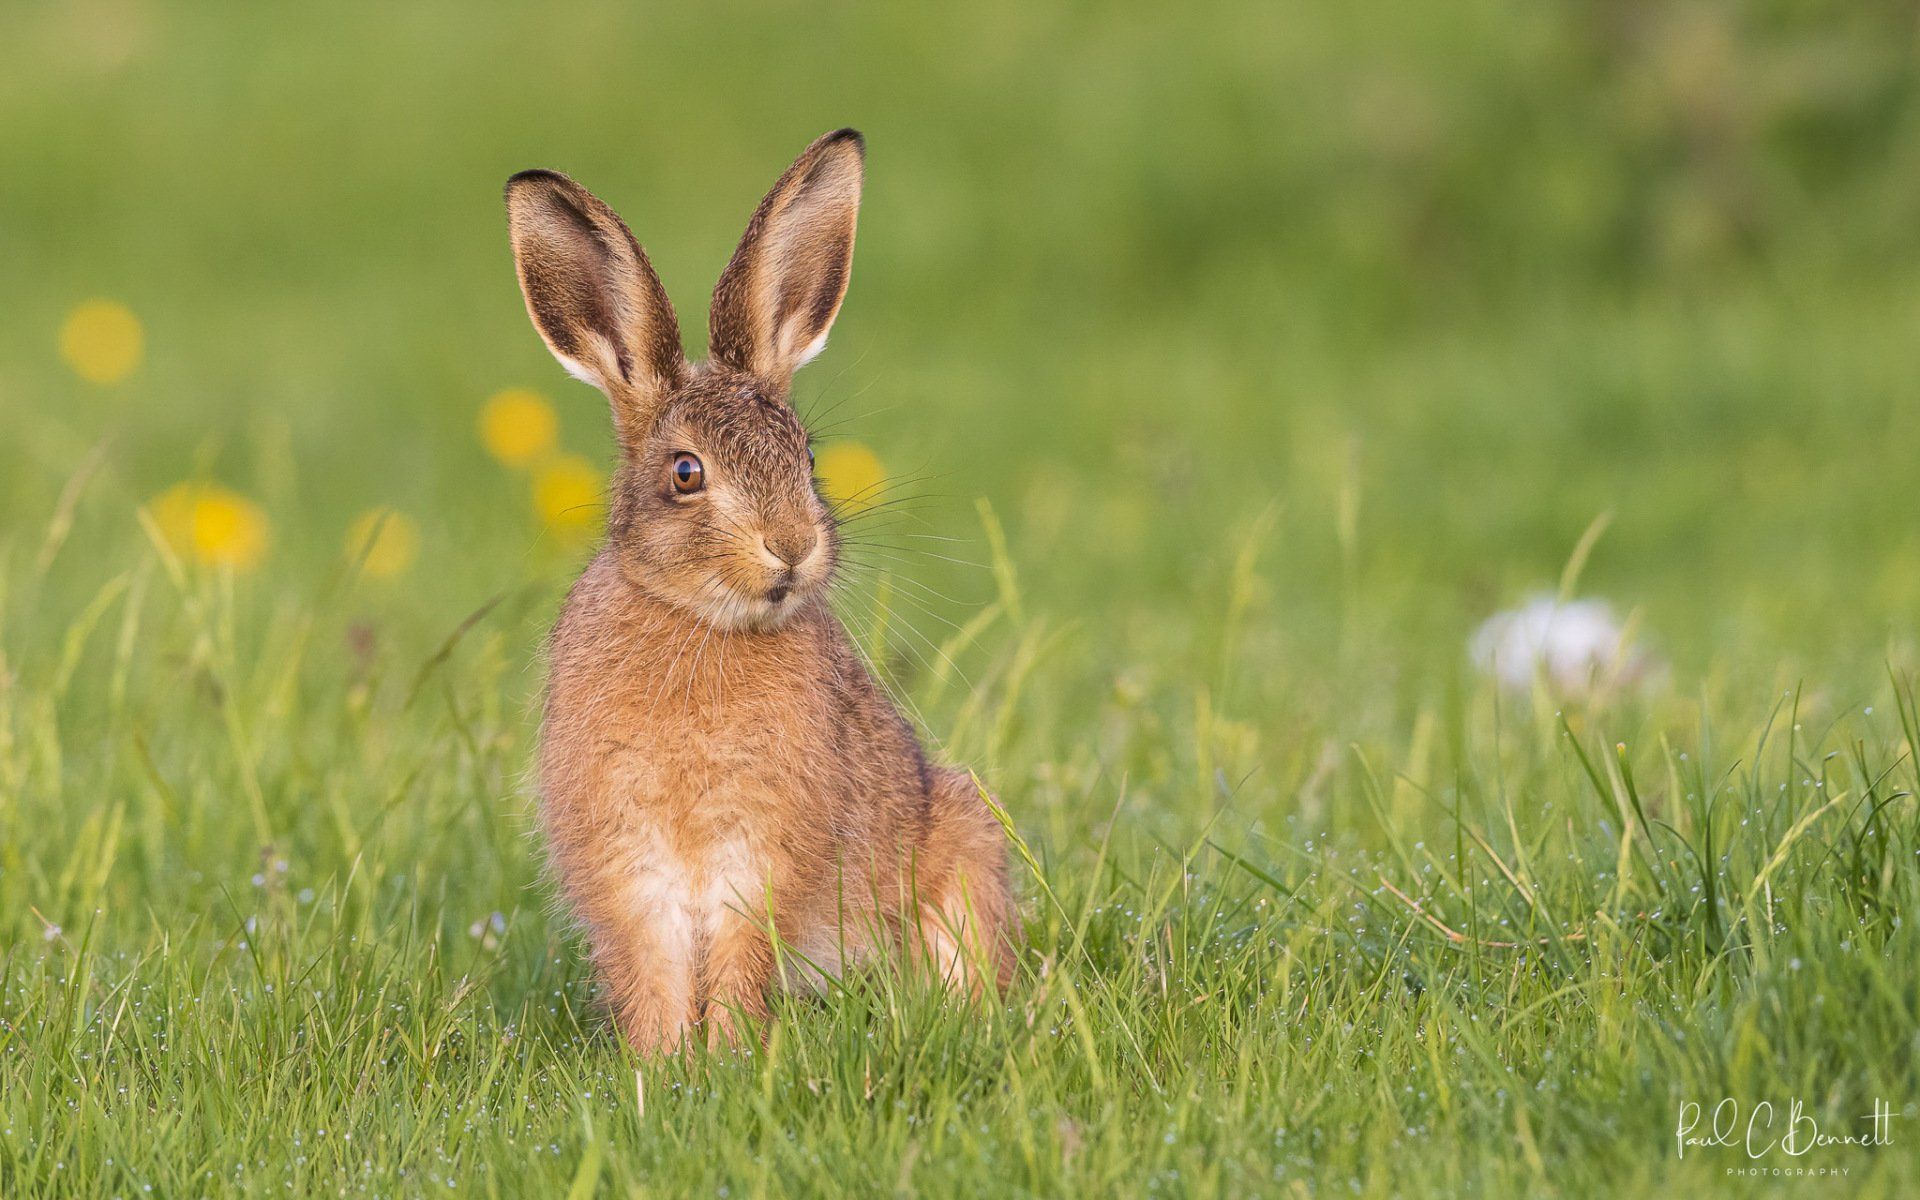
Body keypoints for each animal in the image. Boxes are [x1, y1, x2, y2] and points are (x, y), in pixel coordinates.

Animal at [503, 129, 1019, 1054]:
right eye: (686, 473)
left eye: (805, 456)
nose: (793, 547)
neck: (699, 624)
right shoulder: (629, 865)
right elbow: (654, 969)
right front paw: (662, 1065)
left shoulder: (764, 857)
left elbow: (743, 955)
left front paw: (727, 1058)